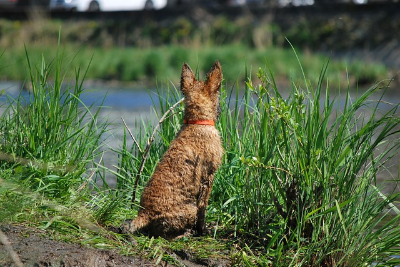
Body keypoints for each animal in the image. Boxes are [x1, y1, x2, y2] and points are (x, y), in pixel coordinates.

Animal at [125, 61, 223, 239]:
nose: (220, 111)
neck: (196, 122)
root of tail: (144, 215)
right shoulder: (208, 178)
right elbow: (203, 209)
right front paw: (203, 230)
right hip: (190, 208)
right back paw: (186, 233)